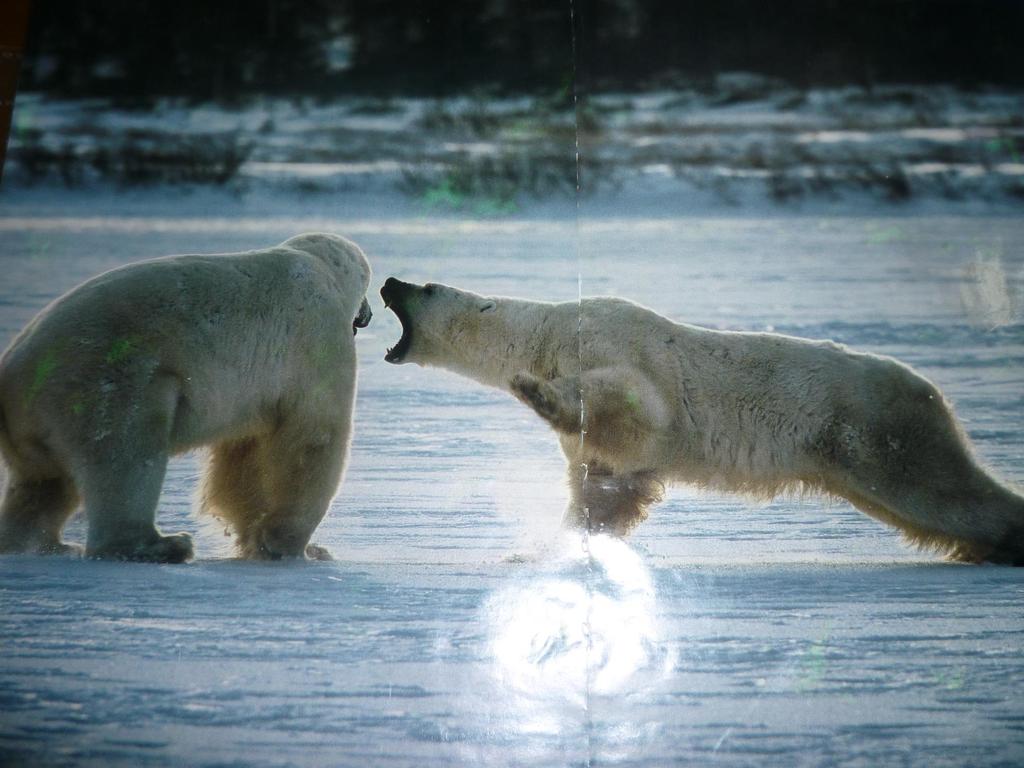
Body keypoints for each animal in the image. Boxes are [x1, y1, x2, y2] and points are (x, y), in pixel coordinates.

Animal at [0, 231, 374, 561]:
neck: (318, 265)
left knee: (43, 484)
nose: (367, 314)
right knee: (127, 453)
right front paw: (293, 545)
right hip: (105, 379)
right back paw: (162, 546)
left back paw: (44, 544)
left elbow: (245, 454)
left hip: (42, 418)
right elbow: (312, 435)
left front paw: (260, 538)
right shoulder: (318, 335)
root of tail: (12, 378)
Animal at [380, 280, 1019, 569]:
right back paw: (979, 550)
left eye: (427, 287)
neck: (550, 331)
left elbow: (634, 406)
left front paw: (532, 389)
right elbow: (605, 485)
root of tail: (933, 392)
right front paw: (540, 550)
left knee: (938, 489)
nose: (390, 282)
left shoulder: (621, 349)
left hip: (876, 431)